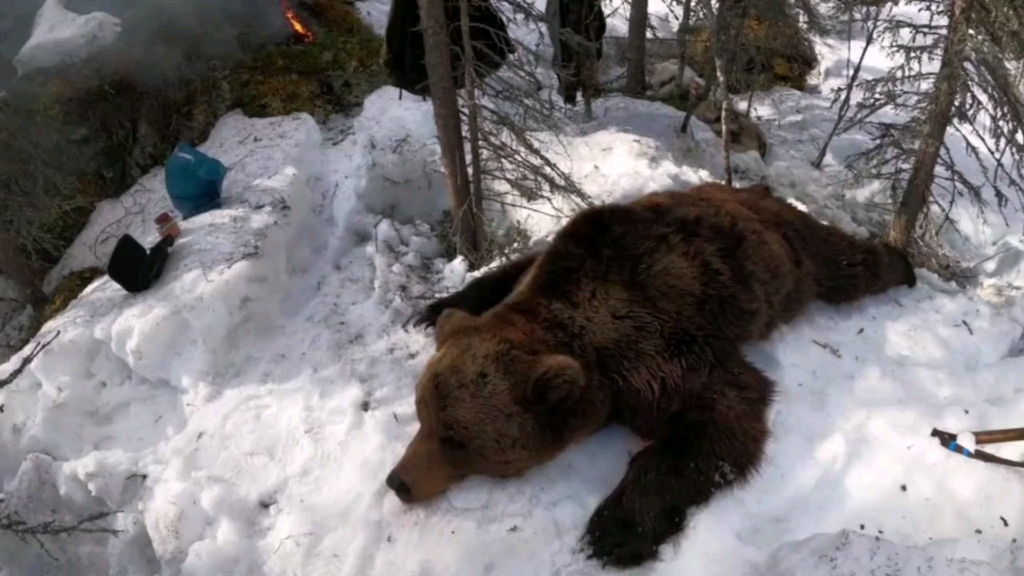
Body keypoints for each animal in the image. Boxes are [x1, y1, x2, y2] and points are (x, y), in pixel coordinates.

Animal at [387, 180, 917, 565]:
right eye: (422, 415)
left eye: (456, 439)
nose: (398, 482)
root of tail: (754, 189)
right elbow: (508, 270)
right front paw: (433, 309)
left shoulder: (653, 347)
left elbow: (722, 411)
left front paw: (613, 532)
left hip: (791, 254)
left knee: (844, 265)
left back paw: (902, 263)